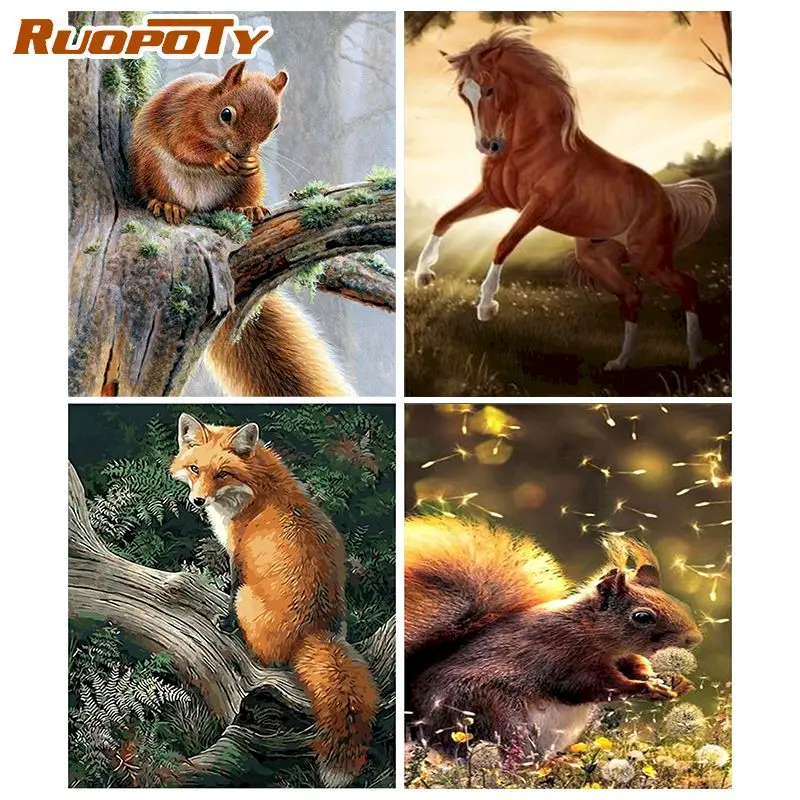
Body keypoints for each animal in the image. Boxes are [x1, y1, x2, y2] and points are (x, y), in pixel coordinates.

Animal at [129, 62, 353, 397]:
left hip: (247, 186)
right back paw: (167, 205)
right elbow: (186, 147)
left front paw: (248, 163)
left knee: (240, 198)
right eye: (226, 114)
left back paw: (249, 209)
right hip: (151, 167)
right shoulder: (179, 118)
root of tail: (200, 206)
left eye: (276, 124)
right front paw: (219, 159)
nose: (243, 151)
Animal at [170, 414, 379, 786]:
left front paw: (225, 623)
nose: (198, 501)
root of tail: (315, 632)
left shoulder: (238, 555)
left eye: (222, 473)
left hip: (248, 600)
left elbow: (230, 591)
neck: (258, 488)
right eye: (195, 469)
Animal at [405, 515, 702, 760]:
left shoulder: (624, 657)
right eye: (642, 617)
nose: (694, 639)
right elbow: (596, 686)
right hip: (491, 713)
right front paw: (647, 688)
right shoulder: (562, 656)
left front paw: (674, 680)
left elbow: (636, 667)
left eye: (682, 605)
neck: (592, 631)